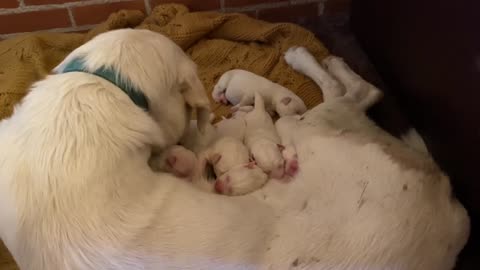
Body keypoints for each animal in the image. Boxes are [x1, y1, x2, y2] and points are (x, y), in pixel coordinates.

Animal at [0, 30, 466, 270]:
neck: (99, 86)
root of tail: (446, 202)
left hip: (309, 126)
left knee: (361, 90)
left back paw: (308, 57)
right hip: (309, 125)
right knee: (360, 91)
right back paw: (311, 58)